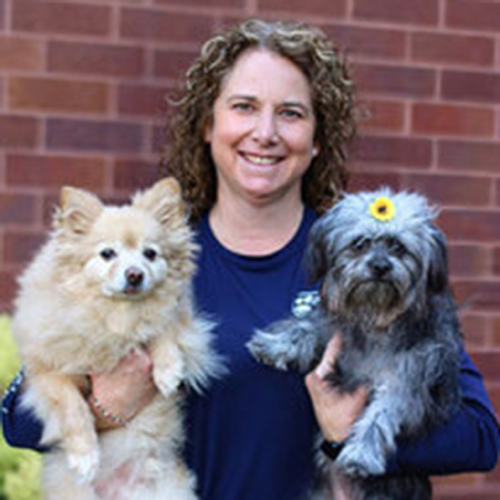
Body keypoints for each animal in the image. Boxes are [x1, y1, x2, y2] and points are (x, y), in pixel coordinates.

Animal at [12, 180, 221, 500]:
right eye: (107, 254)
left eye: (150, 254)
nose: (134, 274)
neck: (117, 317)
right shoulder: (47, 372)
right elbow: (72, 405)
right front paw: (85, 455)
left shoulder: (183, 325)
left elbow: (163, 326)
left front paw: (168, 369)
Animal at [248, 188, 462, 500]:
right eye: (360, 243)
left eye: (398, 247)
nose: (380, 266)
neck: (375, 321)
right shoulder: (334, 328)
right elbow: (308, 327)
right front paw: (275, 344)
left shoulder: (407, 382)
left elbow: (379, 416)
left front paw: (362, 453)